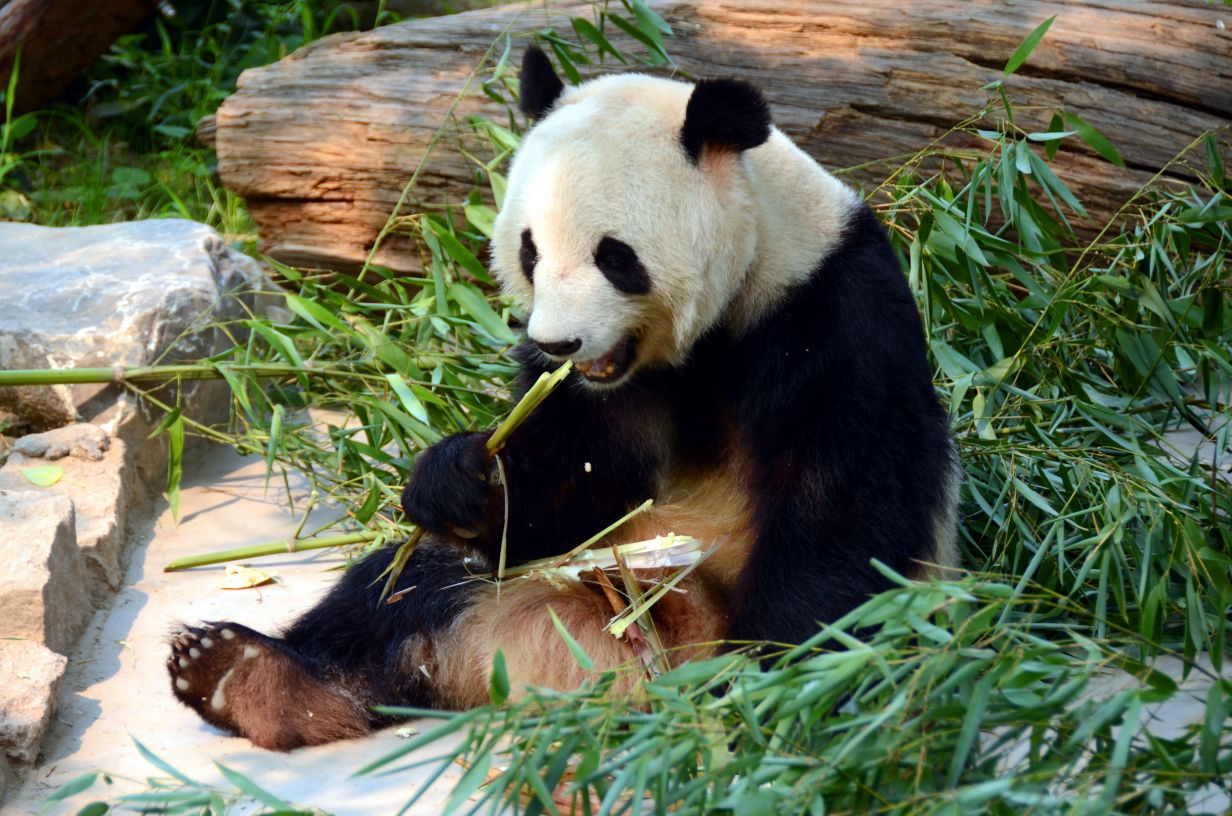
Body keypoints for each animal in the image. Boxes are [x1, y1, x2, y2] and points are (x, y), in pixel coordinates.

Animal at [168, 46, 956, 754]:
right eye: (530, 251)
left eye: (615, 256)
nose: (557, 343)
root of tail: (580, 666)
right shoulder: (601, 396)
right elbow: (574, 485)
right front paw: (460, 478)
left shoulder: (831, 313)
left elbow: (840, 510)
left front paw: (767, 682)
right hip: (533, 581)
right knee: (399, 591)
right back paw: (246, 677)